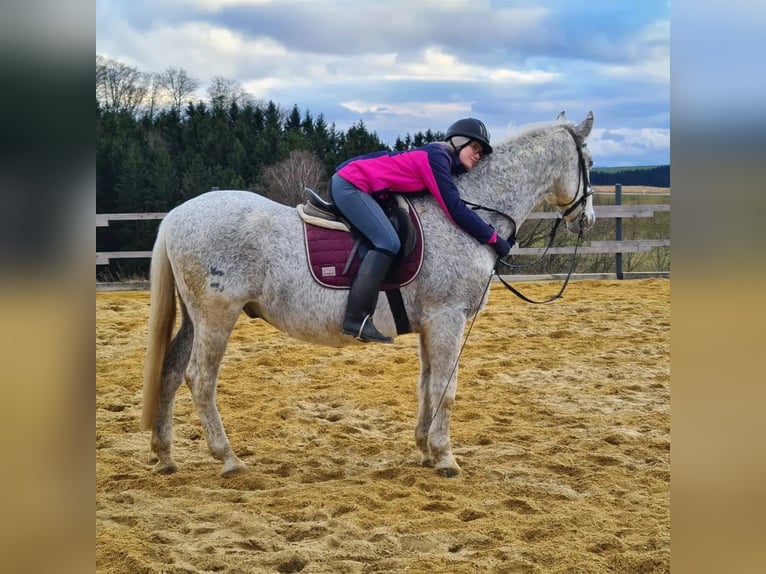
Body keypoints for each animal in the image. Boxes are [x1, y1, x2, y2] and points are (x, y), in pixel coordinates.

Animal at [141, 110, 596, 480]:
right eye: (590, 163)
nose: (587, 219)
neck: (465, 215)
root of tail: (178, 214)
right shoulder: (447, 319)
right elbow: (445, 389)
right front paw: (445, 457)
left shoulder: (431, 325)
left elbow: (427, 385)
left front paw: (425, 450)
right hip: (217, 317)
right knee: (200, 380)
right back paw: (228, 459)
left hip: (195, 317)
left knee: (170, 372)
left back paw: (165, 456)